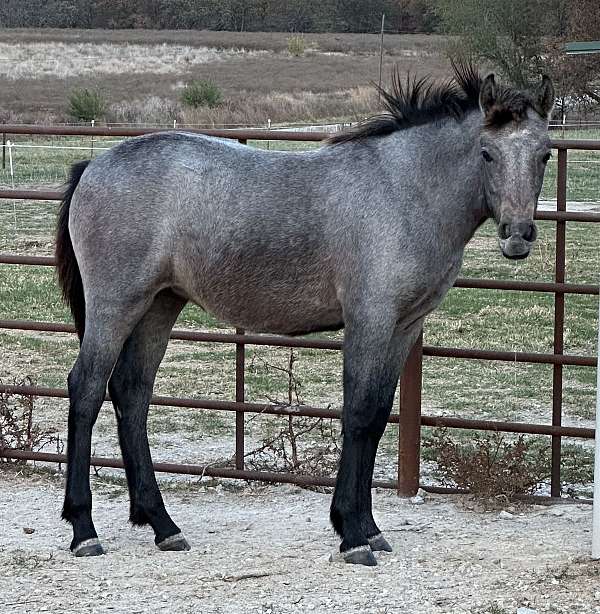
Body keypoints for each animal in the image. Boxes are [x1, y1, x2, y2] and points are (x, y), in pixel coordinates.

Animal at [55, 63, 552, 568]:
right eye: (487, 153)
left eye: (545, 154)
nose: (517, 235)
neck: (404, 191)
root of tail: (93, 166)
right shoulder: (370, 320)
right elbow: (359, 413)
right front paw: (352, 535)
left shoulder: (403, 327)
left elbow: (378, 417)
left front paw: (370, 529)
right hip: (116, 305)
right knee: (87, 389)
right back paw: (84, 530)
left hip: (160, 304)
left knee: (131, 392)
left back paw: (162, 525)